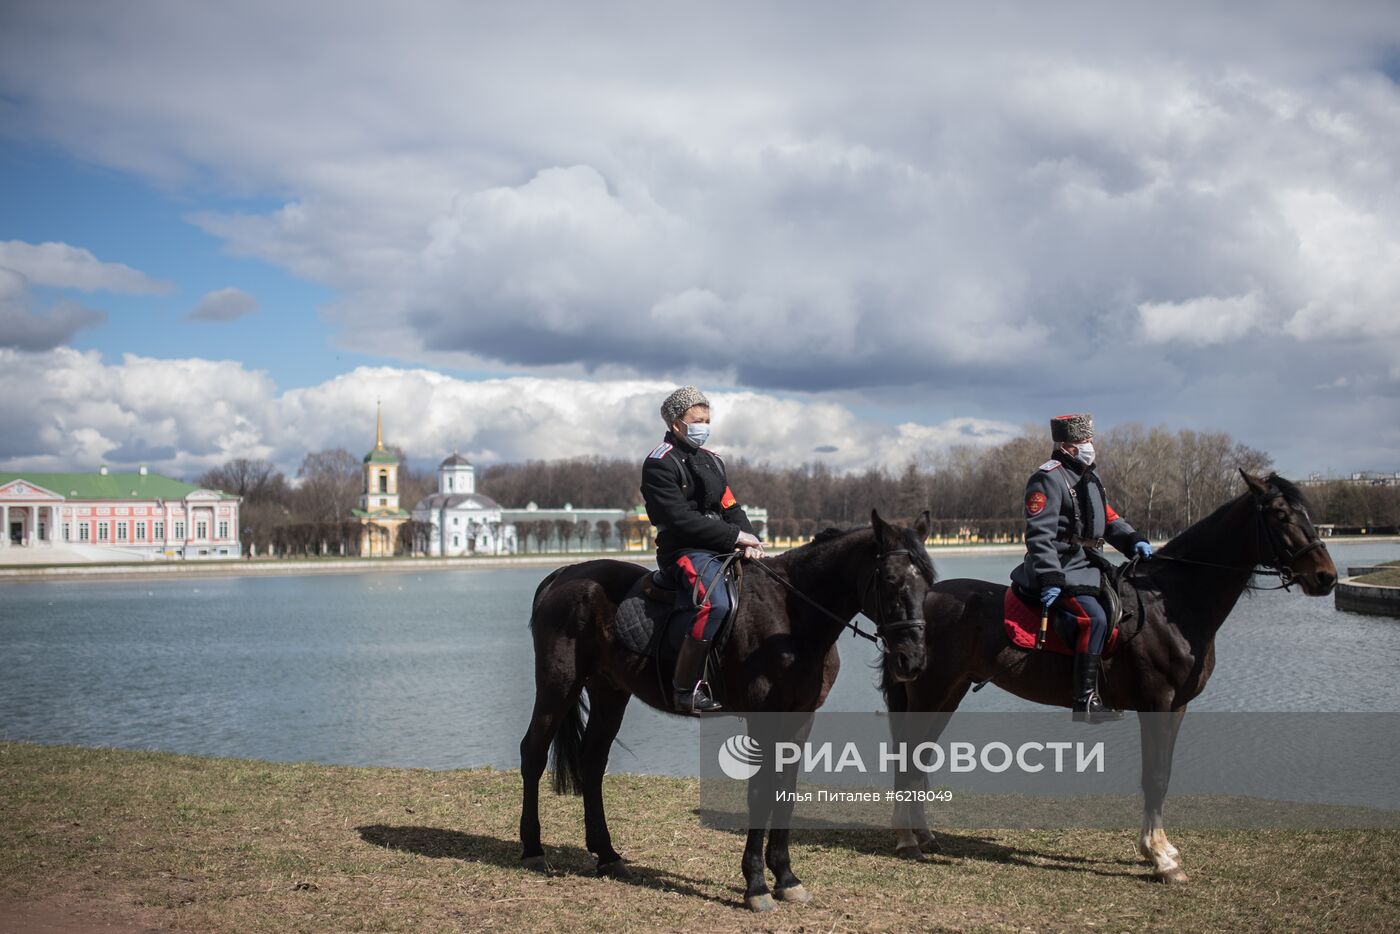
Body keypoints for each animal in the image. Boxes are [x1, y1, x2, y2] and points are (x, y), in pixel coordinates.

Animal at [520, 512, 935, 912]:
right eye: (891, 579)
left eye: (929, 582)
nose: (912, 660)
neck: (792, 617)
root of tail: (564, 574)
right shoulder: (762, 718)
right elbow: (760, 792)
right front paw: (756, 885)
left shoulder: (801, 718)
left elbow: (785, 791)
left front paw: (787, 878)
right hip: (559, 685)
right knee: (533, 753)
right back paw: (533, 850)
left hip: (610, 692)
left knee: (592, 762)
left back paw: (607, 855)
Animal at [884, 476, 1332, 884]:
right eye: (1280, 515)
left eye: (1309, 514)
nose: (1326, 576)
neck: (1172, 603)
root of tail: (920, 603)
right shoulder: (1157, 702)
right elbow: (1155, 776)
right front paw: (1160, 858)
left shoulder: (1178, 707)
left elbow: (1164, 774)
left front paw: (1161, 849)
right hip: (931, 691)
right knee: (909, 755)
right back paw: (906, 840)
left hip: (949, 694)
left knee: (920, 756)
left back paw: (922, 835)